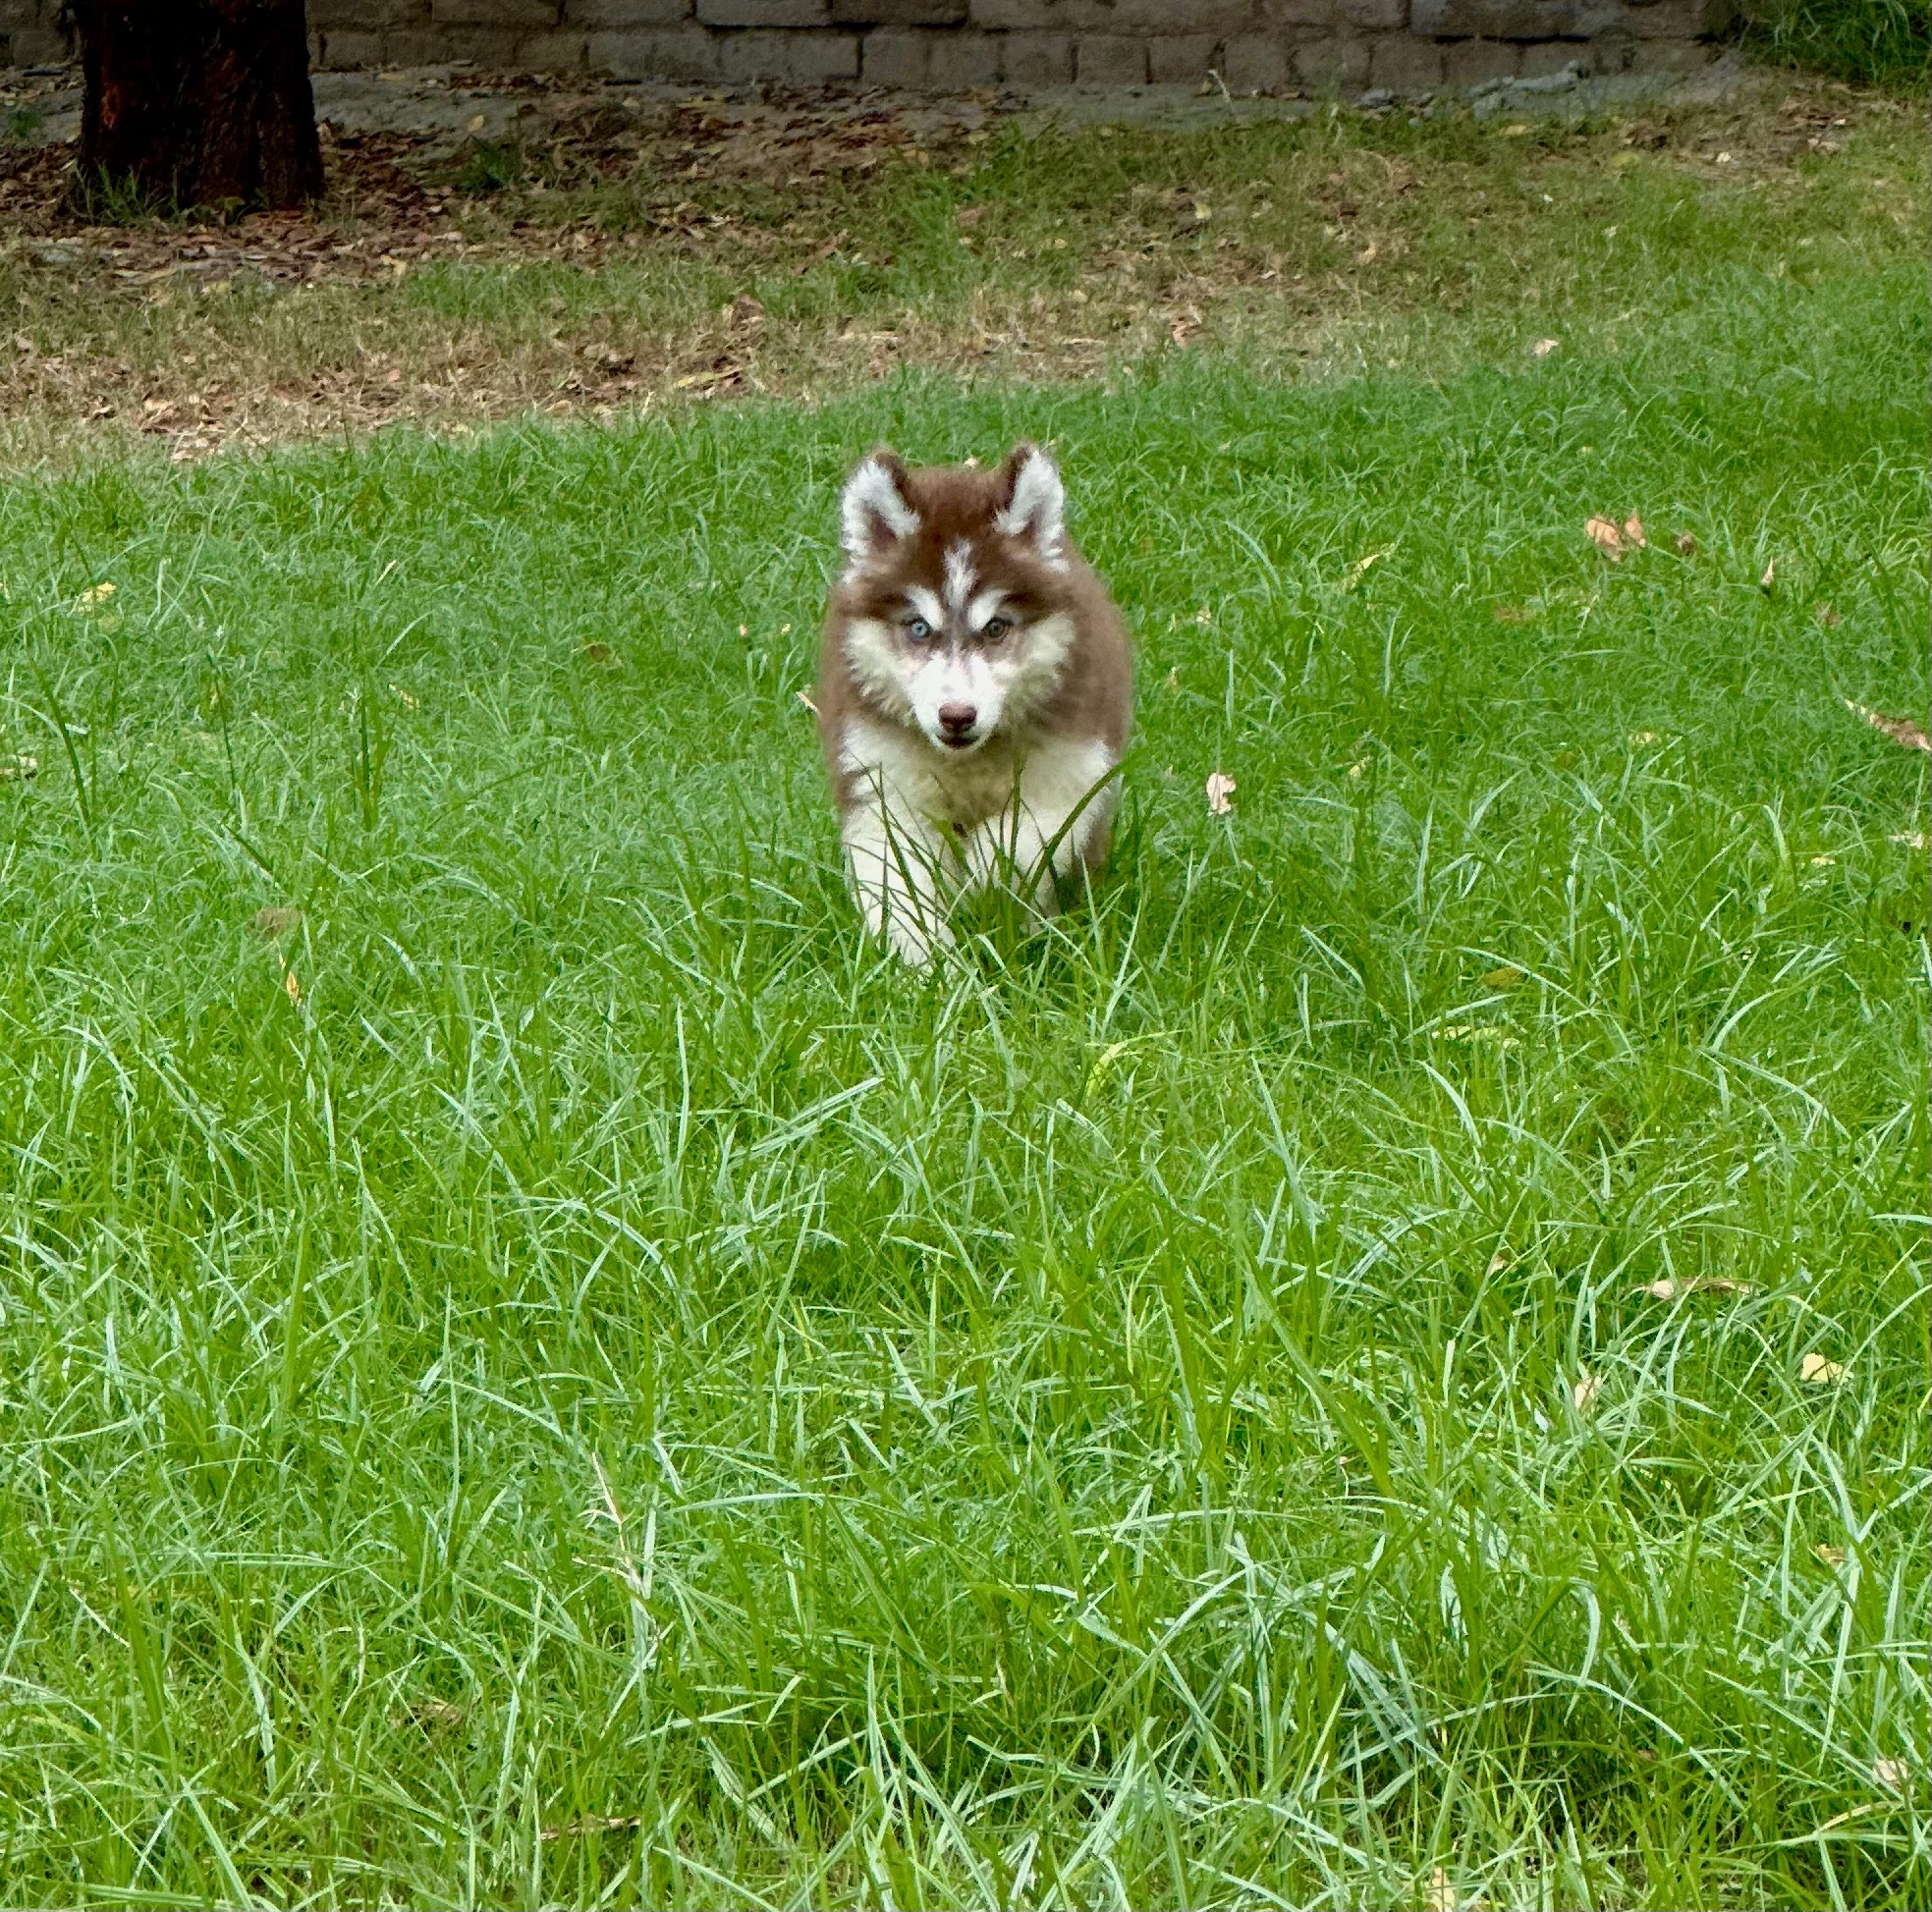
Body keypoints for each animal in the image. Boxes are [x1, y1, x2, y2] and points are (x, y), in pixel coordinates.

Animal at [815, 444, 1128, 965]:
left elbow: (1016, 846)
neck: (968, 764)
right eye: (919, 627)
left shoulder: (1069, 774)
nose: (957, 716)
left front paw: (984, 885)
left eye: (996, 627)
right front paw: (923, 966)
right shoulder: (882, 785)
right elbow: (900, 886)